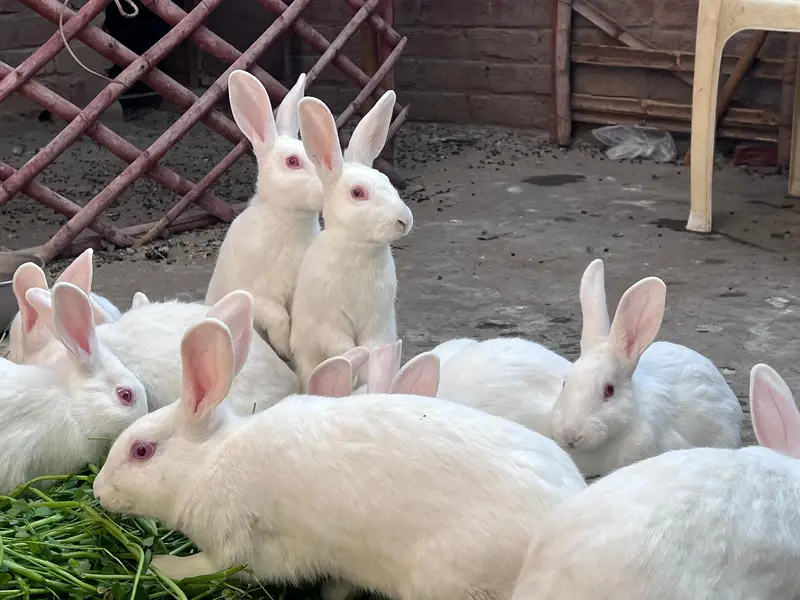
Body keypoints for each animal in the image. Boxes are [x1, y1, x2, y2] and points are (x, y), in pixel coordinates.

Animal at [93, 315, 587, 600]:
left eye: (141, 450)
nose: (98, 491)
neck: (210, 462)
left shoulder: (240, 545)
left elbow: (213, 568)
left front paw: (162, 565)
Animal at [290, 92, 412, 391]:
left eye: (388, 181)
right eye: (358, 193)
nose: (404, 220)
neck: (358, 249)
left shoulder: (377, 320)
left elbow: (372, 346)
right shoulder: (330, 322)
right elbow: (343, 346)